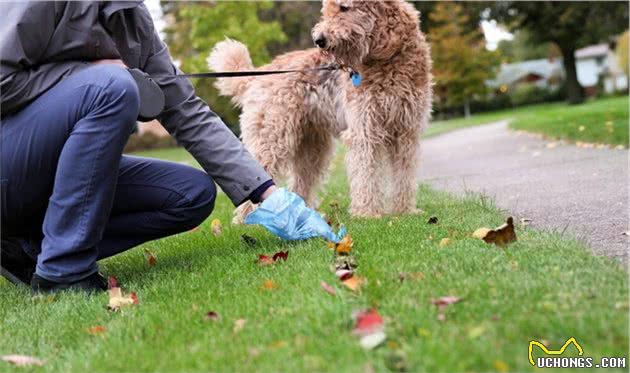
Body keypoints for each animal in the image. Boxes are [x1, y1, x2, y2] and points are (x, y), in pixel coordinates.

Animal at [210, 0, 432, 221]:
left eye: (344, 7)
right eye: (326, 11)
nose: (319, 40)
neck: (389, 56)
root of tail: (256, 76)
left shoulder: (406, 131)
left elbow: (404, 174)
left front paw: (405, 211)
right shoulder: (364, 130)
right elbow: (366, 173)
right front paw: (367, 213)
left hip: (311, 146)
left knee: (300, 181)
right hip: (272, 136)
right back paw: (247, 220)